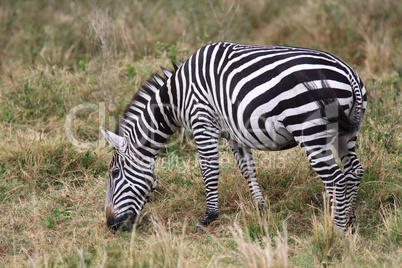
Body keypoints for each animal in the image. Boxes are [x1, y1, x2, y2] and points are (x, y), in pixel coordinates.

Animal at [101, 41, 368, 232]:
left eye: (114, 174)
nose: (111, 226)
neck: (176, 98)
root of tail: (348, 73)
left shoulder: (202, 122)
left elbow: (209, 170)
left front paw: (208, 216)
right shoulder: (233, 132)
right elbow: (247, 169)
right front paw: (260, 208)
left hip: (309, 130)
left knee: (335, 179)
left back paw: (337, 230)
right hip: (347, 133)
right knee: (354, 171)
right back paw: (352, 222)